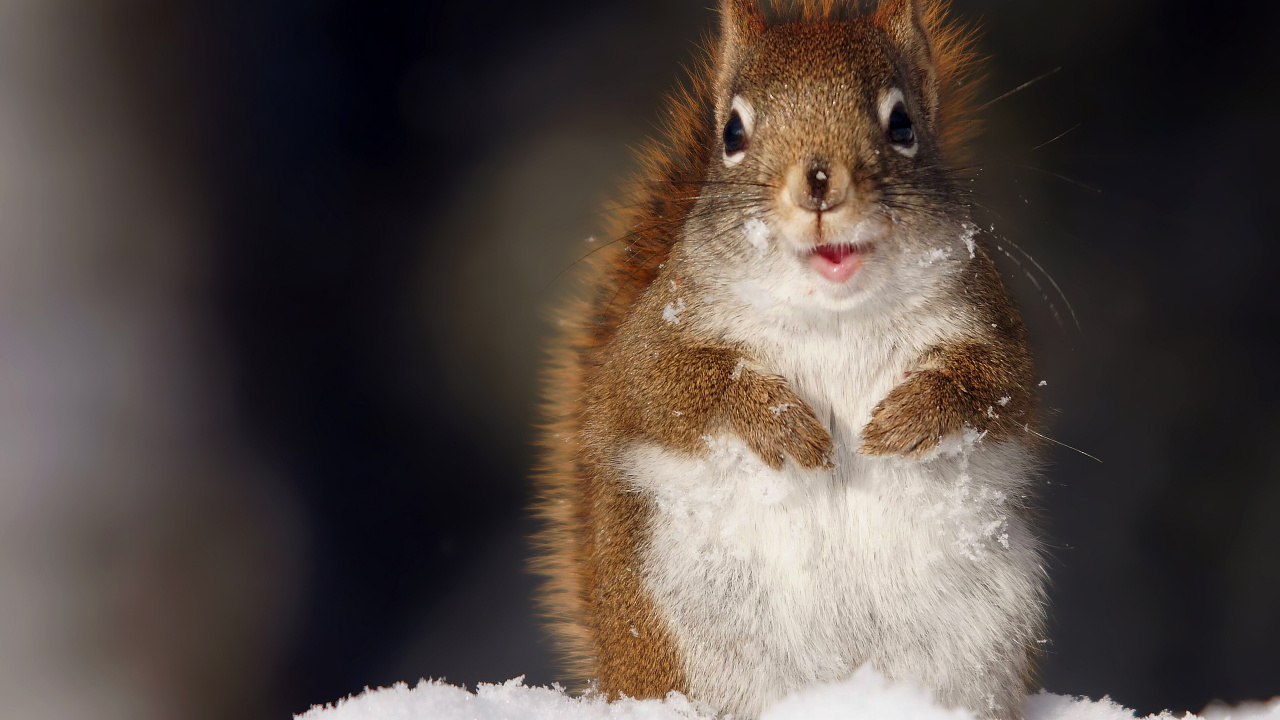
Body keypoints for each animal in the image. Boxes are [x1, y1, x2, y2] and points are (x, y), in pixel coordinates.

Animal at [533, 1, 1048, 718]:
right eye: (731, 132)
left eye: (902, 124)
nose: (820, 184)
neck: (832, 313)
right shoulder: (653, 341)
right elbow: (669, 389)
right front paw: (778, 421)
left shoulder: (991, 323)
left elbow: (996, 386)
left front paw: (912, 415)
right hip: (681, 634)